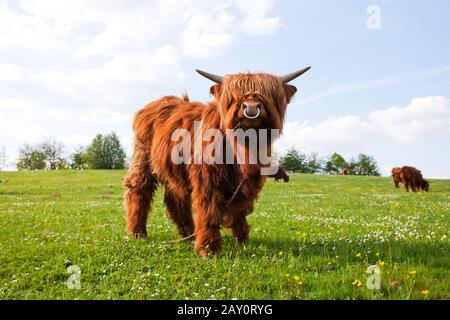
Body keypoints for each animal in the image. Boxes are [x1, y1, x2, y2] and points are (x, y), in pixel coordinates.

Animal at [123, 67, 310, 255]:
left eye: (268, 93)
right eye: (233, 96)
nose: (251, 107)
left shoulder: (247, 181)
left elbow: (240, 209)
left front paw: (242, 239)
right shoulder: (207, 178)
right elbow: (209, 209)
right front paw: (208, 248)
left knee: (175, 198)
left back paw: (188, 233)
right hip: (143, 157)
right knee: (139, 189)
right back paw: (138, 232)